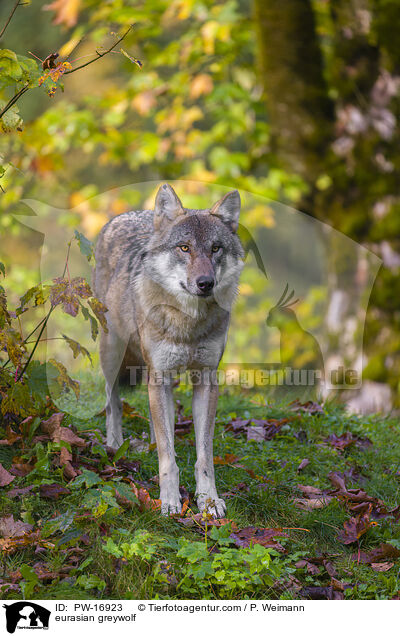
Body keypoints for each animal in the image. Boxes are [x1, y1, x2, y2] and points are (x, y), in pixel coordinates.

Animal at [94, 184, 244, 516]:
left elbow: (204, 456)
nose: (205, 283)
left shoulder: (205, 380)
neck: (188, 323)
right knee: (113, 402)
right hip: (112, 354)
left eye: (216, 248)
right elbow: (168, 456)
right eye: (184, 248)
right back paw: (115, 445)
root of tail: (123, 216)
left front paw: (209, 501)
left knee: (156, 423)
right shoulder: (159, 375)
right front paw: (171, 501)